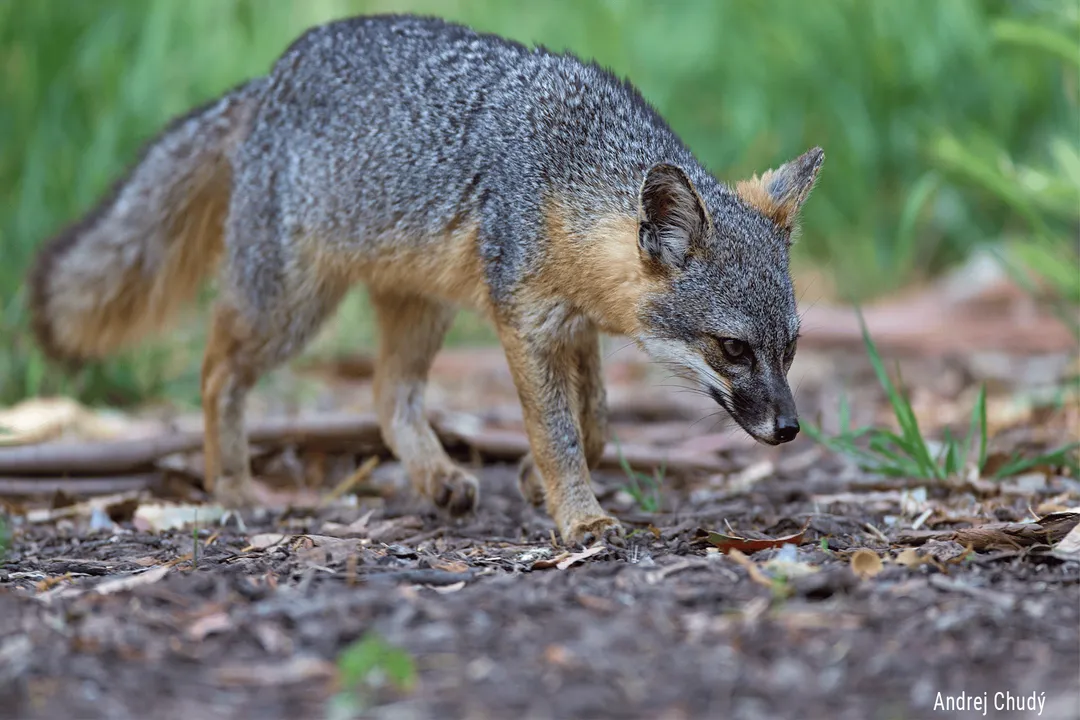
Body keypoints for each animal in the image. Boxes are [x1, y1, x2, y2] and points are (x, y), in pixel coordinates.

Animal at [28, 14, 822, 545]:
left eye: (789, 348)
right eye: (732, 348)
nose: (789, 429)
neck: (572, 169)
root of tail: (269, 78)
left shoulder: (571, 325)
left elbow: (595, 422)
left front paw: (535, 483)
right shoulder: (526, 323)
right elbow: (561, 433)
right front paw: (580, 516)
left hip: (421, 308)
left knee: (388, 395)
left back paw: (436, 479)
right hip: (291, 309)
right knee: (219, 368)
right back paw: (233, 484)